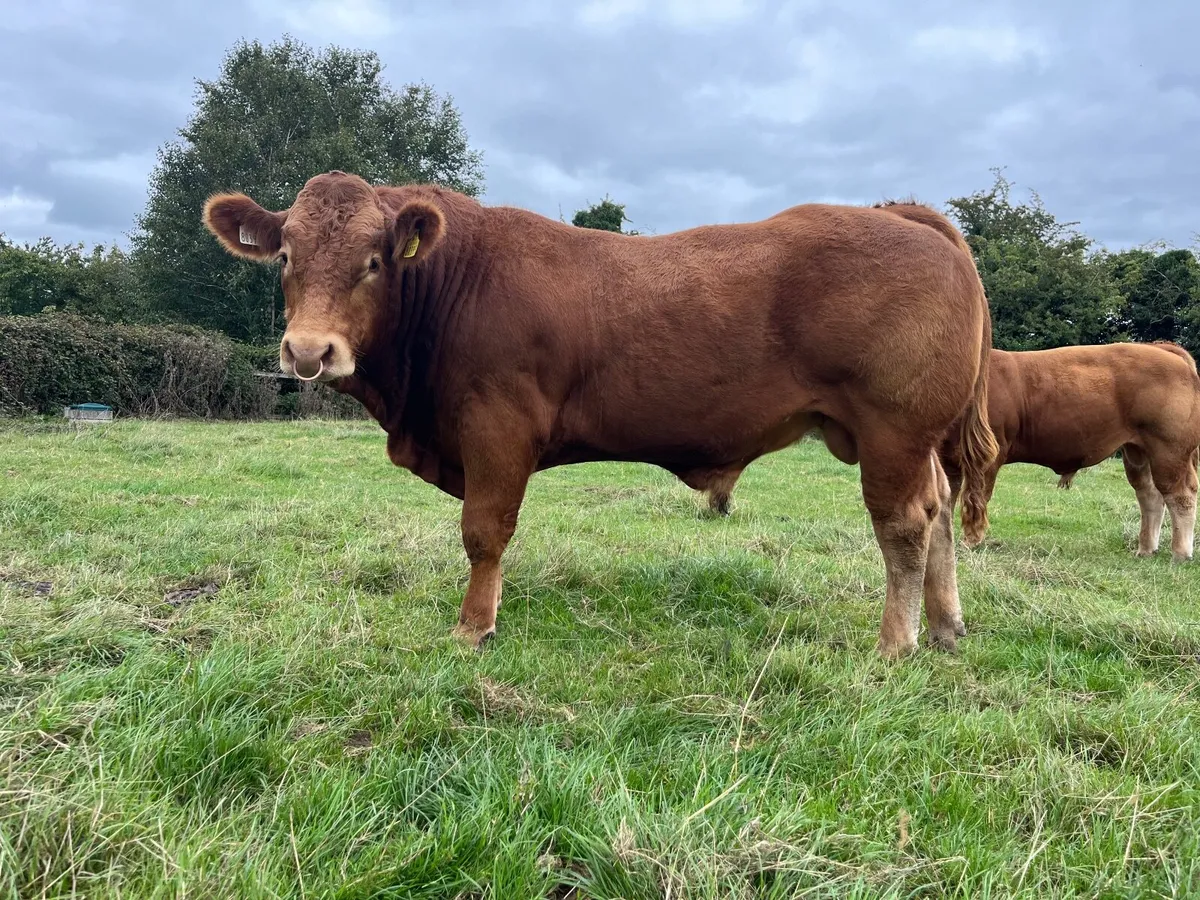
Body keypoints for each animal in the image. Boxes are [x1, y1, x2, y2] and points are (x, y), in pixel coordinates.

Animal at [201, 171, 997, 659]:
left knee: (904, 525)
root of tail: (905, 217)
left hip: (892, 429)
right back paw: (947, 624)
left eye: (374, 261)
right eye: (285, 257)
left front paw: (473, 627)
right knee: (939, 508)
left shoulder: (497, 428)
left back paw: (897, 641)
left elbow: (484, 533)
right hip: (913, 439)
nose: (310, 350)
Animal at [939, 343, 1200, 560]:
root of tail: (1160, 348)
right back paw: (1146, 549)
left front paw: (971, 541)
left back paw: (1180, 553)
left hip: (1169, 448)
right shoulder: (946, 459)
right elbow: (948, 498)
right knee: (1150, 494)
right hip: (1138, 451)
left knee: (1180, 494)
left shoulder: (988, 456)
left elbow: (977, 497)